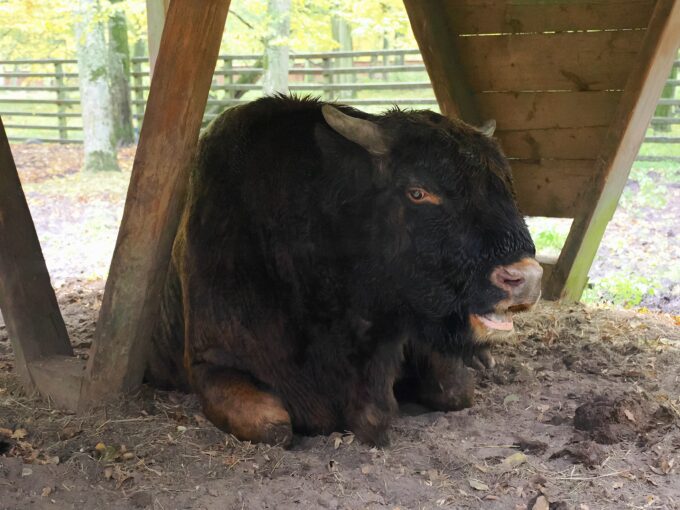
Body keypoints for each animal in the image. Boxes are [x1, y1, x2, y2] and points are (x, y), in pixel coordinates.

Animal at [149, 95, 540, 446]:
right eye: (417, 191)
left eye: (506, 186)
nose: (526, 279)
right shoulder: (210, 362)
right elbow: (272, 426)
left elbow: (456, 390)